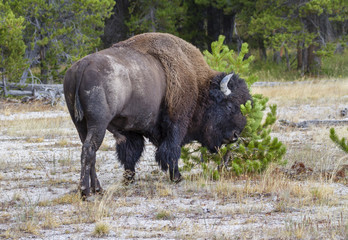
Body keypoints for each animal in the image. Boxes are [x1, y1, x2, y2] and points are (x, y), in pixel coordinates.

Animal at [64, 32, 251, 197]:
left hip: (80, 124)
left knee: (90, 152)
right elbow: (171, 150)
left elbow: (130, 154)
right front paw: (177, 177)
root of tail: (82, 66)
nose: (235, 135)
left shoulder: (129, 130)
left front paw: (129, 178)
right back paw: (86, 192)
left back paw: (97, 189)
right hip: (98, 124)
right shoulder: (177, 124)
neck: (198, 86)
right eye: (229, 106)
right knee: (89, 150)